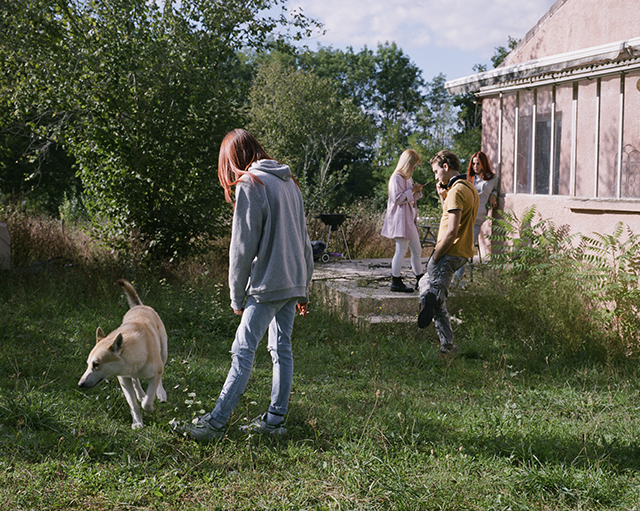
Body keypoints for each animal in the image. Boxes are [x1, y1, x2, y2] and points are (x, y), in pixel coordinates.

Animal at [78, 280, 168, 428]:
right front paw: (137, 422)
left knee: (159, 376)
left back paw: (160, 394)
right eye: (88, 364)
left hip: (163, 353)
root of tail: (139, 306)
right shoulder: (123, 378)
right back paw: (141, 393)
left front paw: (150, 407)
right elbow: (133, 403)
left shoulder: (155, 372)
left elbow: (147, 401)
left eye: (96, 364)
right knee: (136, 381)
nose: (80, 384)